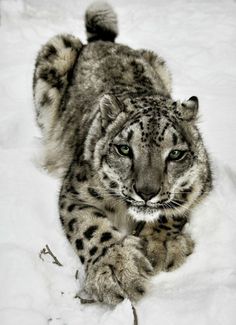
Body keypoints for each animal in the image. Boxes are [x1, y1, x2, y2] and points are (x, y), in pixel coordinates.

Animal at [32, 1, 211, 304]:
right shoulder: (75, 192)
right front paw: (117, 270)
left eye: (175, 154)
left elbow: (176, 206)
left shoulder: (200, 183)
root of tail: (102, 42)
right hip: (55, 53)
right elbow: (88, 227)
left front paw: (162, 245)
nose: (147, 192)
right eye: (124, 149)